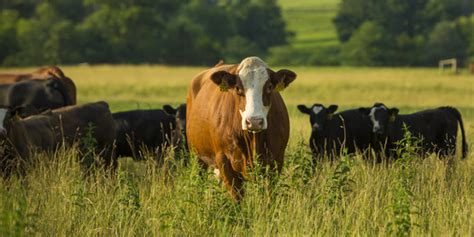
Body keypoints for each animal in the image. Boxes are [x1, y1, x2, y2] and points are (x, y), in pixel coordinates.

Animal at [186, 56, 294, 201]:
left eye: (270, 87)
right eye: (237, 88)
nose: (254, 121)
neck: (253, 140)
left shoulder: (276, 160)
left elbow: (268, 195)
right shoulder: (224, 160)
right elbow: (237, 197)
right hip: (197, 157)